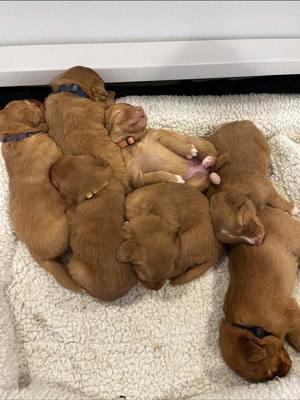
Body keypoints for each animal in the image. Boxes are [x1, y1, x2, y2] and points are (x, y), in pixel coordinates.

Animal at [218, 206, 300, 382]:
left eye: (272, 370)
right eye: (269, 377)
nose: (287, 372)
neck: (254, 326)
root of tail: (262, 210)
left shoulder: (291, 314)